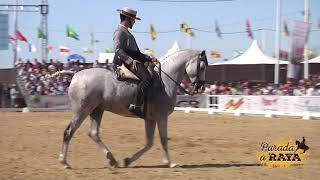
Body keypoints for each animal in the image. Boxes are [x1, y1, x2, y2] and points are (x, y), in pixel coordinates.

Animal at [58, 49, 208, 169]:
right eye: (202, 67)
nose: (201, 87)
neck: (164, 82)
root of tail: (75, 75)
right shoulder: (161, 117)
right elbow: (163, 139)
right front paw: (169, 163)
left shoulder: (150, 119)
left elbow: (149, 143)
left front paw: (128, 160)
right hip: (82, 110)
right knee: (68, 132)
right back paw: (64, 162)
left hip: (96, 110)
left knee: (94, 133)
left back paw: (112, 159)